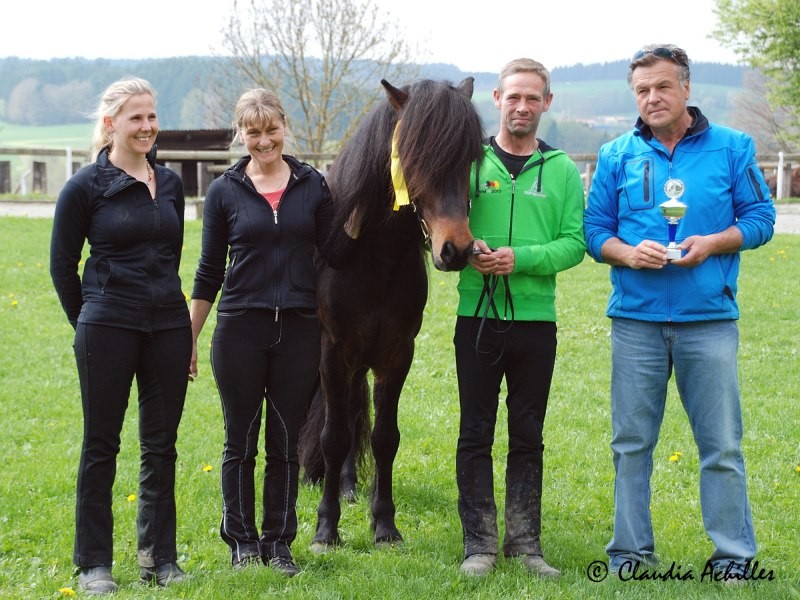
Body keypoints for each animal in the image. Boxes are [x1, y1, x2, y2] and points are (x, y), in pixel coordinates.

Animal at [300, 77, 484, 552]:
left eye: (469, 159)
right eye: (416, 156)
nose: (456, 249)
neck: (372, 256)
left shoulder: (396, 355)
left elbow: (385, 438)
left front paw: (384, 525)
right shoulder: (333, 353)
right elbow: (333, 436)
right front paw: (326, 530)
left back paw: (348, 486)